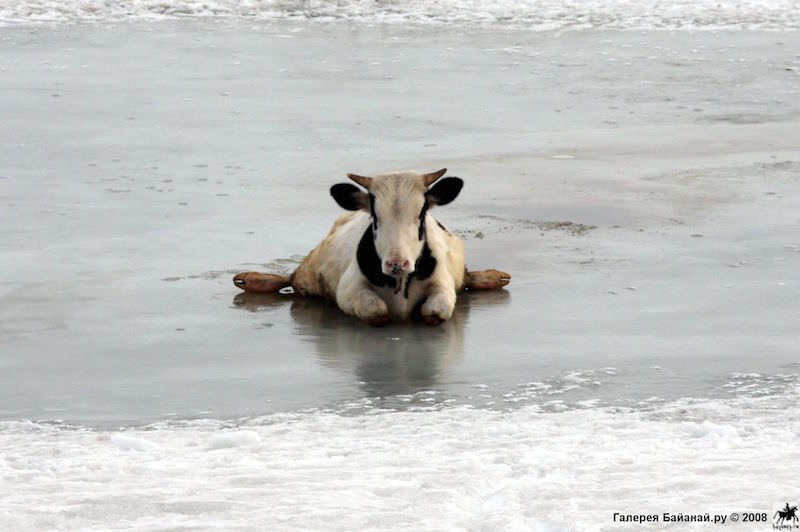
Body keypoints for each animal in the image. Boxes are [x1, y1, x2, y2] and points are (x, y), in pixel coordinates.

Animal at [234, 168, 510, 326]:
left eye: (421, 213)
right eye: (376, 216)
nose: (397, 263)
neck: (400, 283)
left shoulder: (442, 283)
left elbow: (436, 311)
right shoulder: (348, 289)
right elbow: (375, 310)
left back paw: (492, 278)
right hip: (309, 269)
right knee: (290, 278)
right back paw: (253, 280)